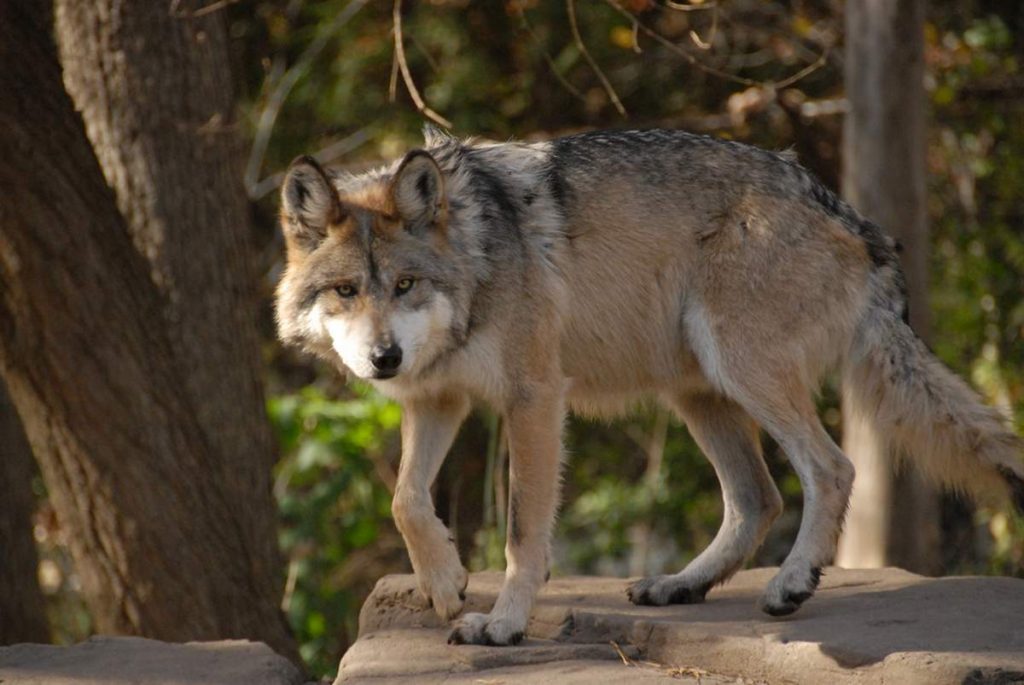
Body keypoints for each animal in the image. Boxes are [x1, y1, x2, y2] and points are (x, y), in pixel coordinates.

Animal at [276, 127, 1024, 647]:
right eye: (347, 291)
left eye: (404, 284)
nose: (384, 358)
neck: (475, 255)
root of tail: (853, 216)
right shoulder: (438, 398)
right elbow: (404, 499)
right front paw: (444, 582)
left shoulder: (534, 397)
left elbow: (522, 532)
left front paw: (504, 623)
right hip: (696, 391)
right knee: (758, 497)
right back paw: (680, 584)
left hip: (741, 369)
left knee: (832, 468)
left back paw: (790, 583)